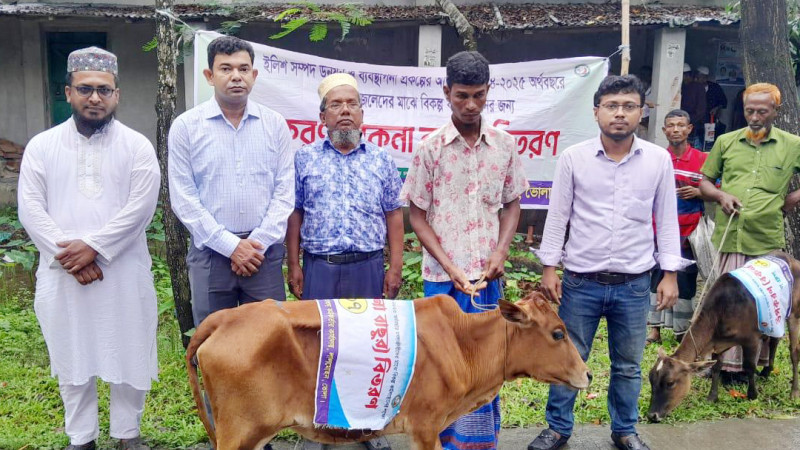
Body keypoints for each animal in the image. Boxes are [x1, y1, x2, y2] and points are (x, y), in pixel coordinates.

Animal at [186, 292, 591, 450]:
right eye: (558, 333)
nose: (587, 374)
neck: (463, 342)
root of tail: (223, 318)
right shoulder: (426, 426)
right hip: (239, 433)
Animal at [647, 251, 800, 422]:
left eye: (670, 383)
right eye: (651, 379)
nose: (652, 415)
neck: (721, 310)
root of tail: (790, 258)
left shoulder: (751, 339)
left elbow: (749, 366)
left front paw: (752, 395)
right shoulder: (717, 343)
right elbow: (716, 367)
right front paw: (712, 397)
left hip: (794, 313)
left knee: (794, 352)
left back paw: (794, 392)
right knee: (774, 340)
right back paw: (767, 371)